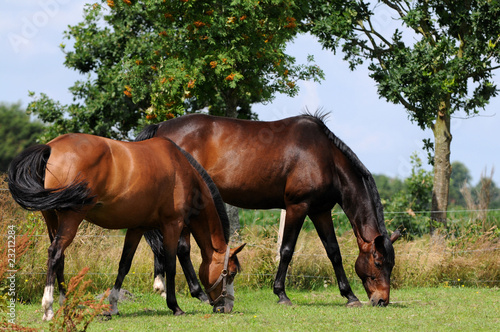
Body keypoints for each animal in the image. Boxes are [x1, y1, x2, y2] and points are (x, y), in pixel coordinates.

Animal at [6, 134, 244, 320]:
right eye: (230, 273)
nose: (227, 307)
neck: (181, 169)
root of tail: (51, 147)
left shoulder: (137, 227)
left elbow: (124, 265)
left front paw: (112, 305)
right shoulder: (172, 225)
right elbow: (171, 263)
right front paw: (175, 306)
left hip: (52, 218)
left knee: (60, 258)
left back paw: (66, 305)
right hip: (71, 217)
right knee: (55, 253)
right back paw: (49, 308)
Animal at [138, 113, 402, 308]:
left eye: (391, 265)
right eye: (378, 262)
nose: (382, 300)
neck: (325, 156)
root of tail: (160, 127)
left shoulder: (320, 211)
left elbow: (333, 252)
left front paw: (349, 296)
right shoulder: (297, 207)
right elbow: (286, 250)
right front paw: (281, 294)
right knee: (182, 249)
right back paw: (197, 293)